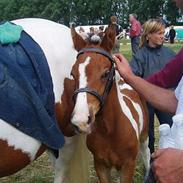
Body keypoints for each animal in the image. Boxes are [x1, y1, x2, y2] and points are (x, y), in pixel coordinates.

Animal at [66, 22, 151, 182]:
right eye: (72, 74)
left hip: (144, 137)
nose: (81, 120)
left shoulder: (128, 166)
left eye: (105, 73)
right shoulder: (100, 165)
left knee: (147, 154)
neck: (109, 131)